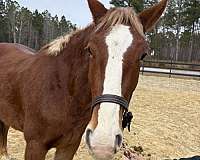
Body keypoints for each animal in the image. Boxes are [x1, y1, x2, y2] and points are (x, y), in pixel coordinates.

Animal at [0, 0, 168, 159]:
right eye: (90, 50)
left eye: (143, 55)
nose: (103, 142)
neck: (62, 91)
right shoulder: (35, 146)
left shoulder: (68, 146)